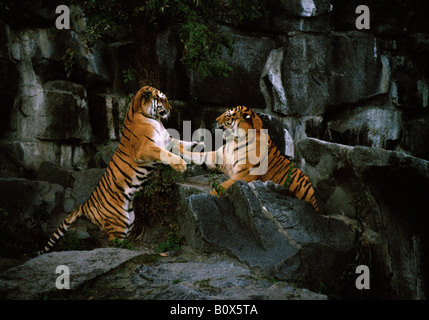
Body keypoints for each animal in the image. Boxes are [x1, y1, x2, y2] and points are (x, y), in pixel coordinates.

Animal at [38, 86, 199, 254]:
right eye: (162, 99)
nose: (171, 109)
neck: (148, 115)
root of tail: (86, 203)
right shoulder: (145, 149)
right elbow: (168, 154)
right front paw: (181, 165)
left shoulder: (167, 141)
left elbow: (181, 144)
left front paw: (196, 147)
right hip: (118, 223)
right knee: (112, 244)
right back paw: (127, 252)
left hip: (129, 220)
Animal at [175, 105, 318, 212]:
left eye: (227, 115)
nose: (215, 120)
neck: (234, 140)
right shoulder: (219, 157)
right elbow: (196, 155)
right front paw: (176, 148)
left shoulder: (245, 175)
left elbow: (222, 186)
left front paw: (205, 197)